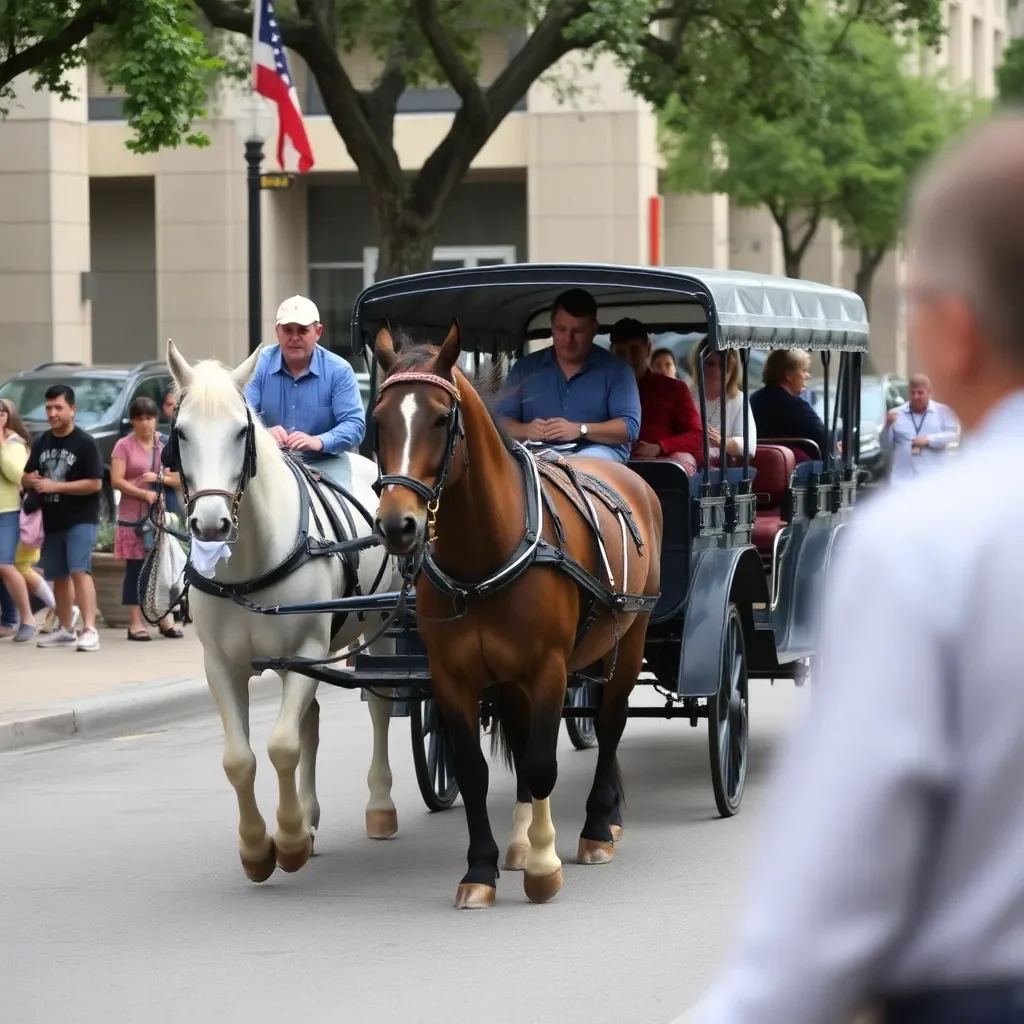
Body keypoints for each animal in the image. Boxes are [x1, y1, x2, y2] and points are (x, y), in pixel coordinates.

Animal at [164, 342, 403, 880]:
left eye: (241, 431)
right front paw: (257, 849)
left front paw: (288, 841)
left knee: (379, 704)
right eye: (181, 431)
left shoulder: (307, 650)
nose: (211, 525)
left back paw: (379, 807)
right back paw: (310, 816)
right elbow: (241, 759)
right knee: (309, 720)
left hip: (383, 625)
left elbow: (282, 746)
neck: (251, 564)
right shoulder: (222, 665)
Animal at [372, 323, 659, 909]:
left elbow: (543, 762)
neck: (485, 552)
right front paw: (481, 869)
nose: (397, 524)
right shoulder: (454, 676)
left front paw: (546, 869)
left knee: (610, 724)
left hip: (630, 638)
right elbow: (475, 770)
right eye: (378, 420)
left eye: (441, 419)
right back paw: (524, 840)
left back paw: (598, 826)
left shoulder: (548, 668)